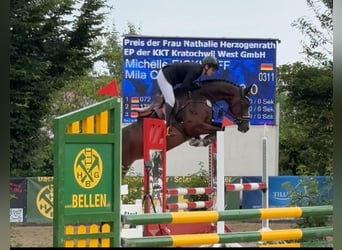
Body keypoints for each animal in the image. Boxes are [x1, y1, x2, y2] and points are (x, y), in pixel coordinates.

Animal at [121, 78, 251, 176]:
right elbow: (218, 129)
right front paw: (201, 141)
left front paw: (204, 140)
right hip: (124, 164)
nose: (246, 128)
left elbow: (221, 127)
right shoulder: (193, 127)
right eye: (245, 103)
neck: (201, 98)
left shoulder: (206, 123)